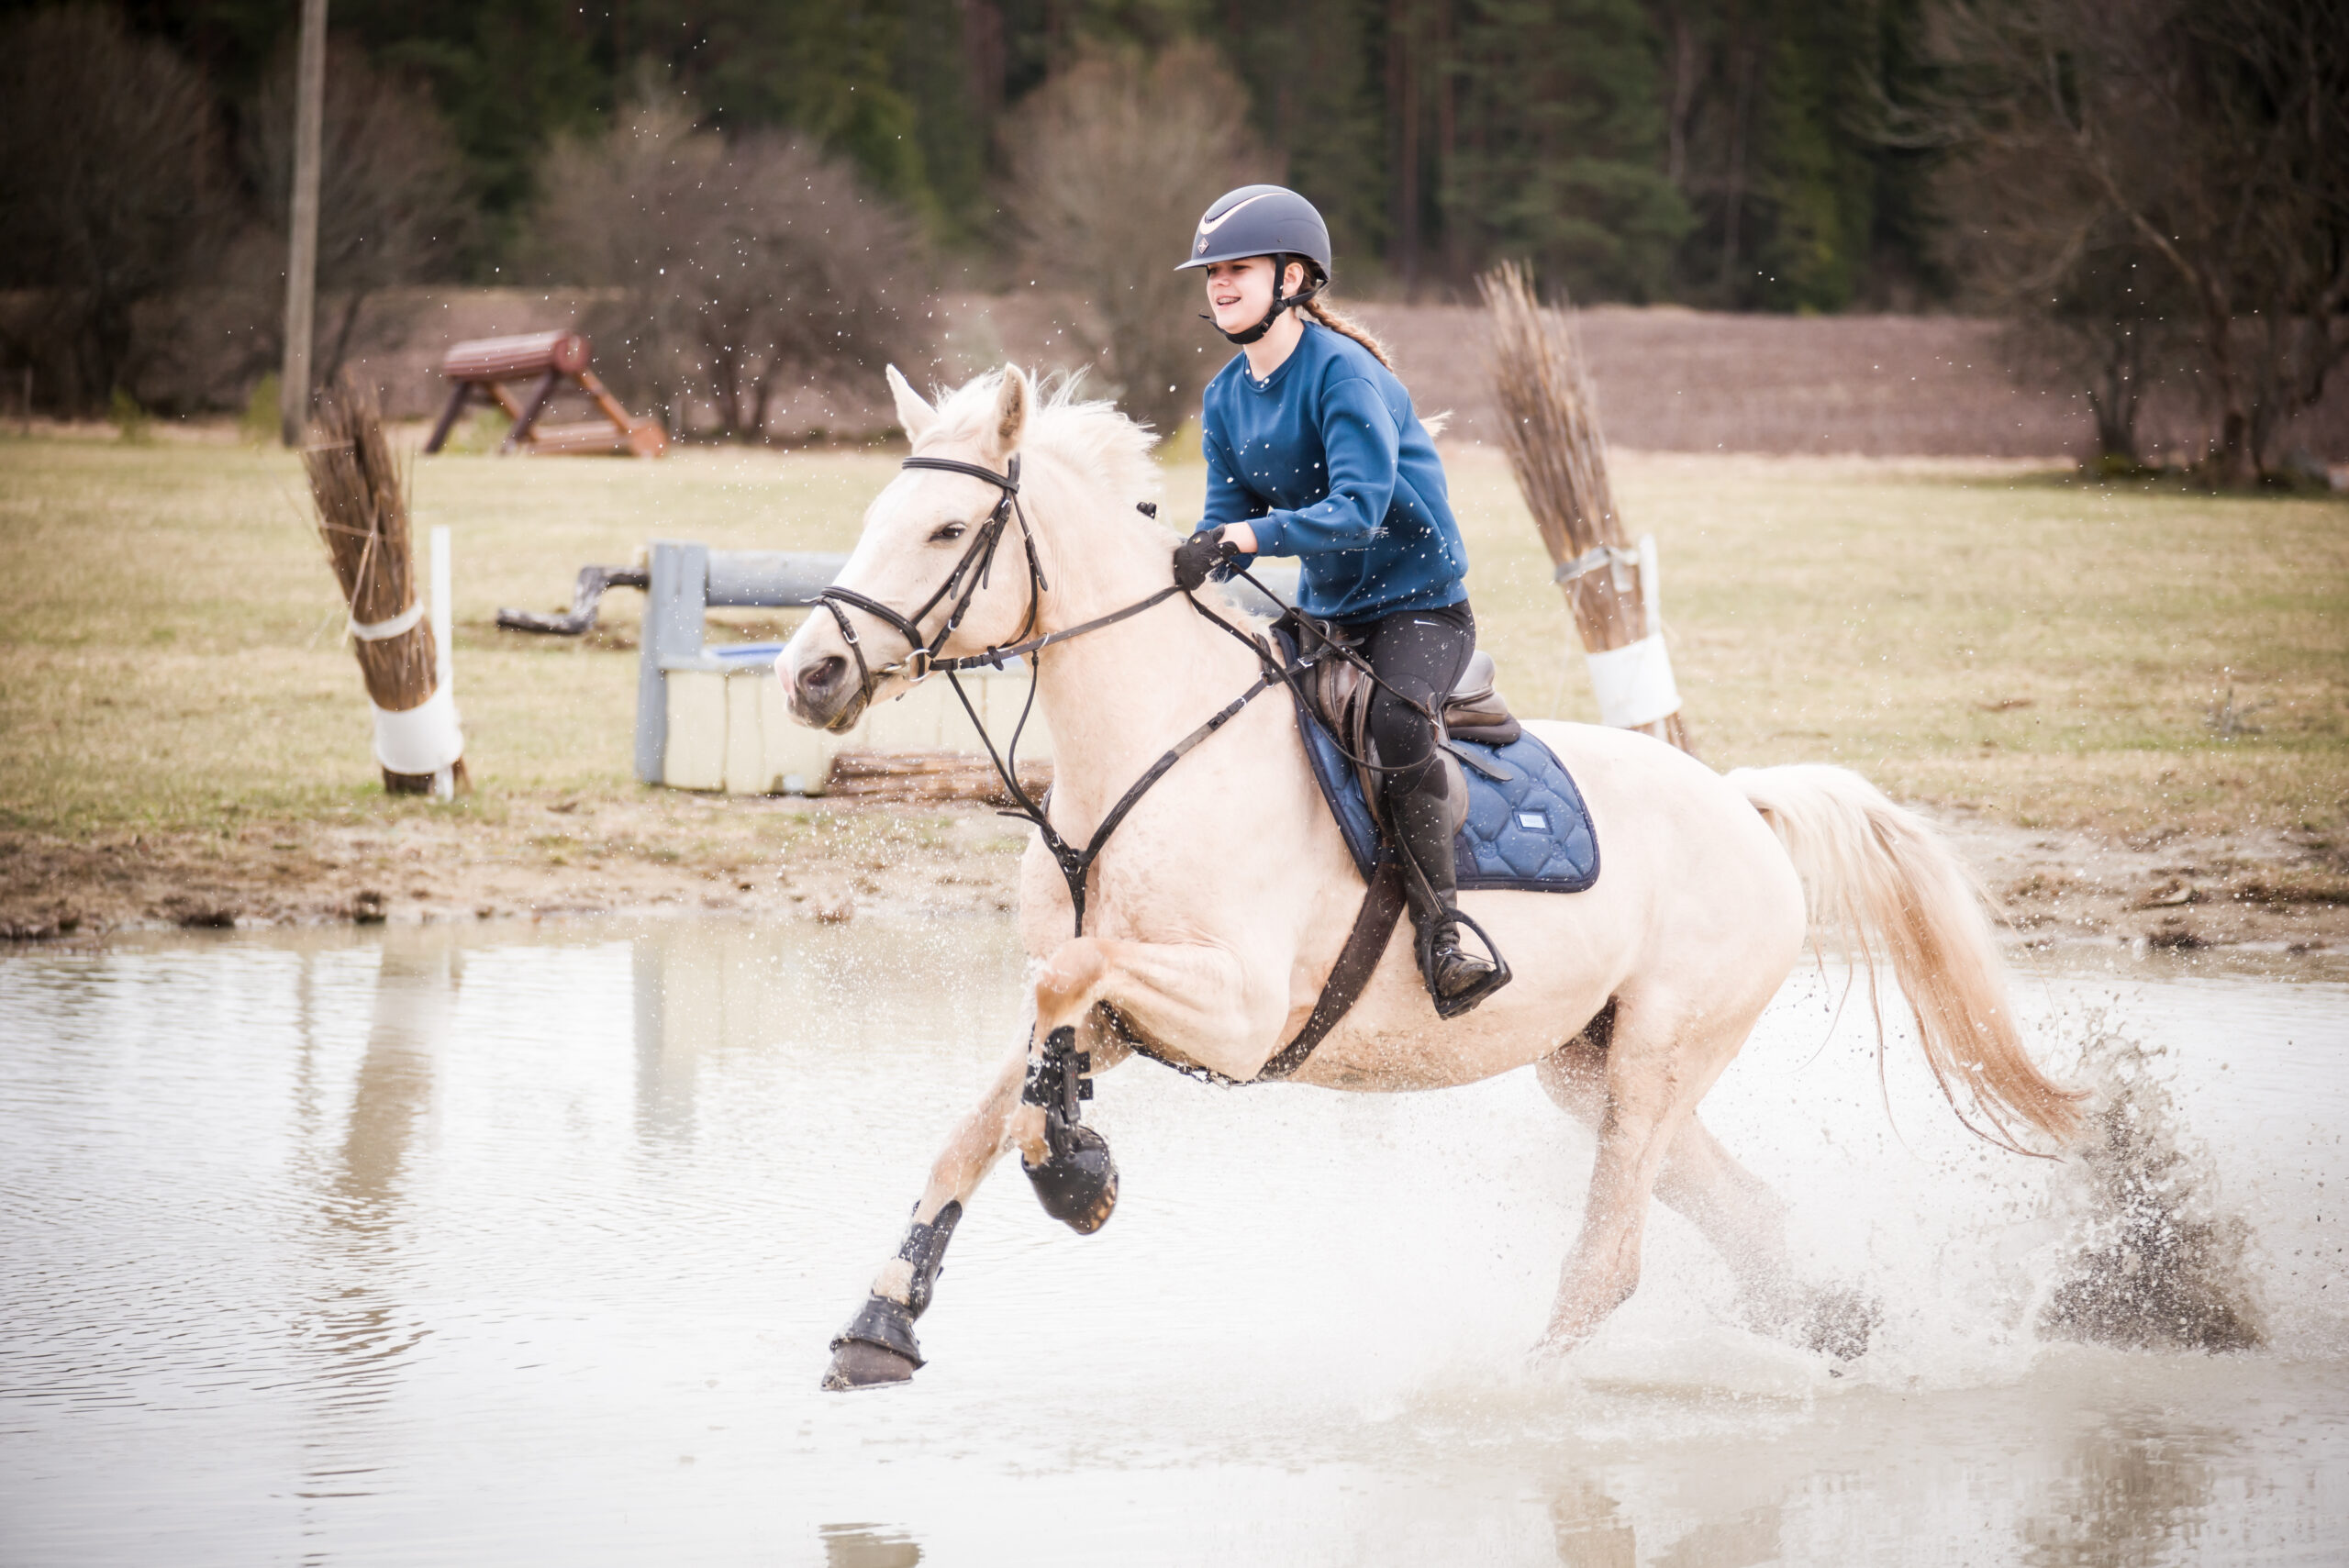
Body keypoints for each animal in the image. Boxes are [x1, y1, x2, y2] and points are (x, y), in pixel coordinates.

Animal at [779, 363, 2086, 1380]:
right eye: (877, 512)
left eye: (948, 533)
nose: (809, 674)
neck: (1144, 749)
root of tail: (1744, 804)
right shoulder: (1129, 1002)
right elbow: (990, 1100)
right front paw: (884, 1319)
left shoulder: (1235, 1013)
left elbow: (1059, 992)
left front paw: (1075, 1172)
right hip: (1593, 1065)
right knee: (1739, 1211)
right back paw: (1836, 1324)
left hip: (1662, 1053)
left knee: (1609, 1258)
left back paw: (1515, 1396)